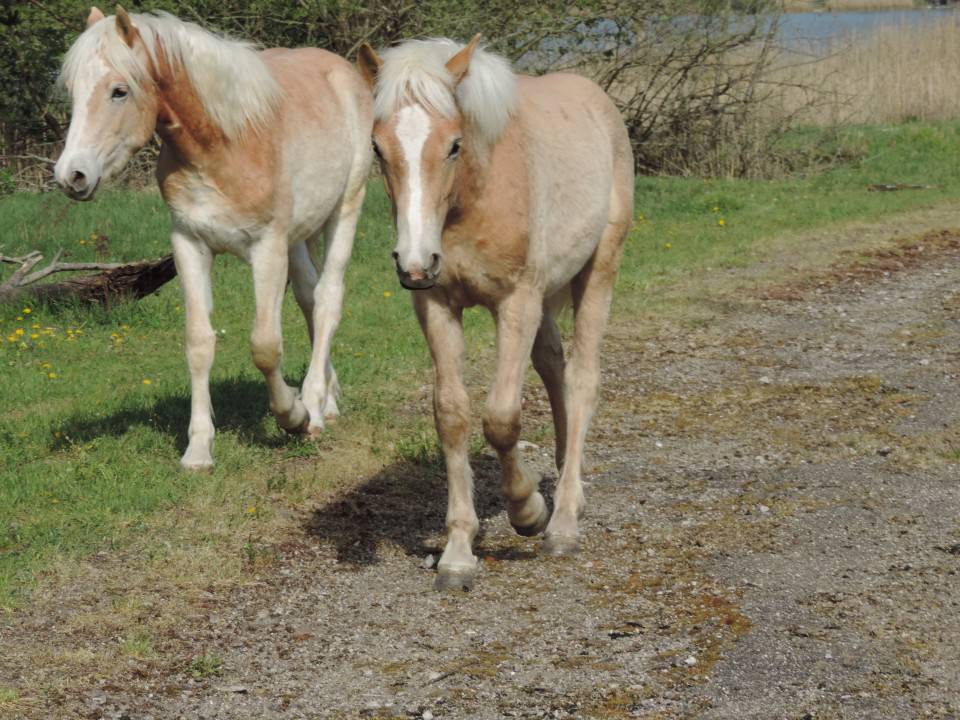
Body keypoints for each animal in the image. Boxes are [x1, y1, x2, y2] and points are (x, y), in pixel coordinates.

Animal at [54, 8, 374, 470]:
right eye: (73, 91)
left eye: (119, 91)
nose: (71, 176)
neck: (225, 144)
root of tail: (342, 70)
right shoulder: (190, 245)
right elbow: (199, 343)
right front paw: (199, 449)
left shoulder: (267, 249)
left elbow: (265, 345)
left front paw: (293, 415)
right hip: (299, 238)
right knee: (309, 298)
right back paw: (328, 401)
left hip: (344, 210)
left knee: (328, 299)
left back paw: (313, 406)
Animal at [356, 35, 632, 592]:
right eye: (377, 147)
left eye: (454, 144)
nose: (414, 262)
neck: (476, 197)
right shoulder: (436, 303)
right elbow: (452, 416)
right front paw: (459, 553)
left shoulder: (516, 302)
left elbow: (502, 419)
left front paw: (528, 511)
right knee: (554, 365)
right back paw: (568, 482)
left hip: (598, 270)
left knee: (583, 379)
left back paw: (563, 520)